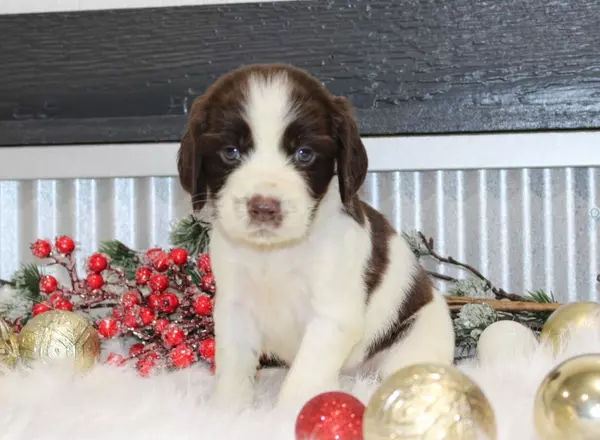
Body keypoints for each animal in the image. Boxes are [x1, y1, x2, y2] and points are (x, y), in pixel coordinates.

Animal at [177, 62, 454, 410]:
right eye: (230, 152)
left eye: (304, 154)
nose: (263, 207)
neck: (274, 253)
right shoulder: (235, 308)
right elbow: (234, 366)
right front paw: (229, 411)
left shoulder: (331, 314)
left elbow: (303, 378)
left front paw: (287, 414)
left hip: (414, 340)